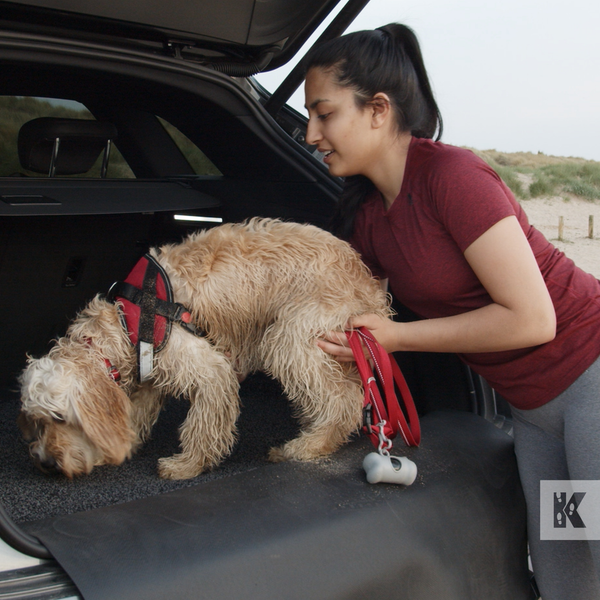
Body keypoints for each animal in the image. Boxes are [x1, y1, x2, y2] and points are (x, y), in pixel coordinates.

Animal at [17, 218, 390, 480]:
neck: (124, 323)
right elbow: (137, 412)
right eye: (35, 421)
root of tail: (369, 283)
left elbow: (203, 424)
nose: (45, 462)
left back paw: (308, 445)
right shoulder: (150, 375)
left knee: (344, 401)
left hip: (291, 338)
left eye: (59, 417)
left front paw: (188, 465)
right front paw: (126, 444)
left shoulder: (209, 370)